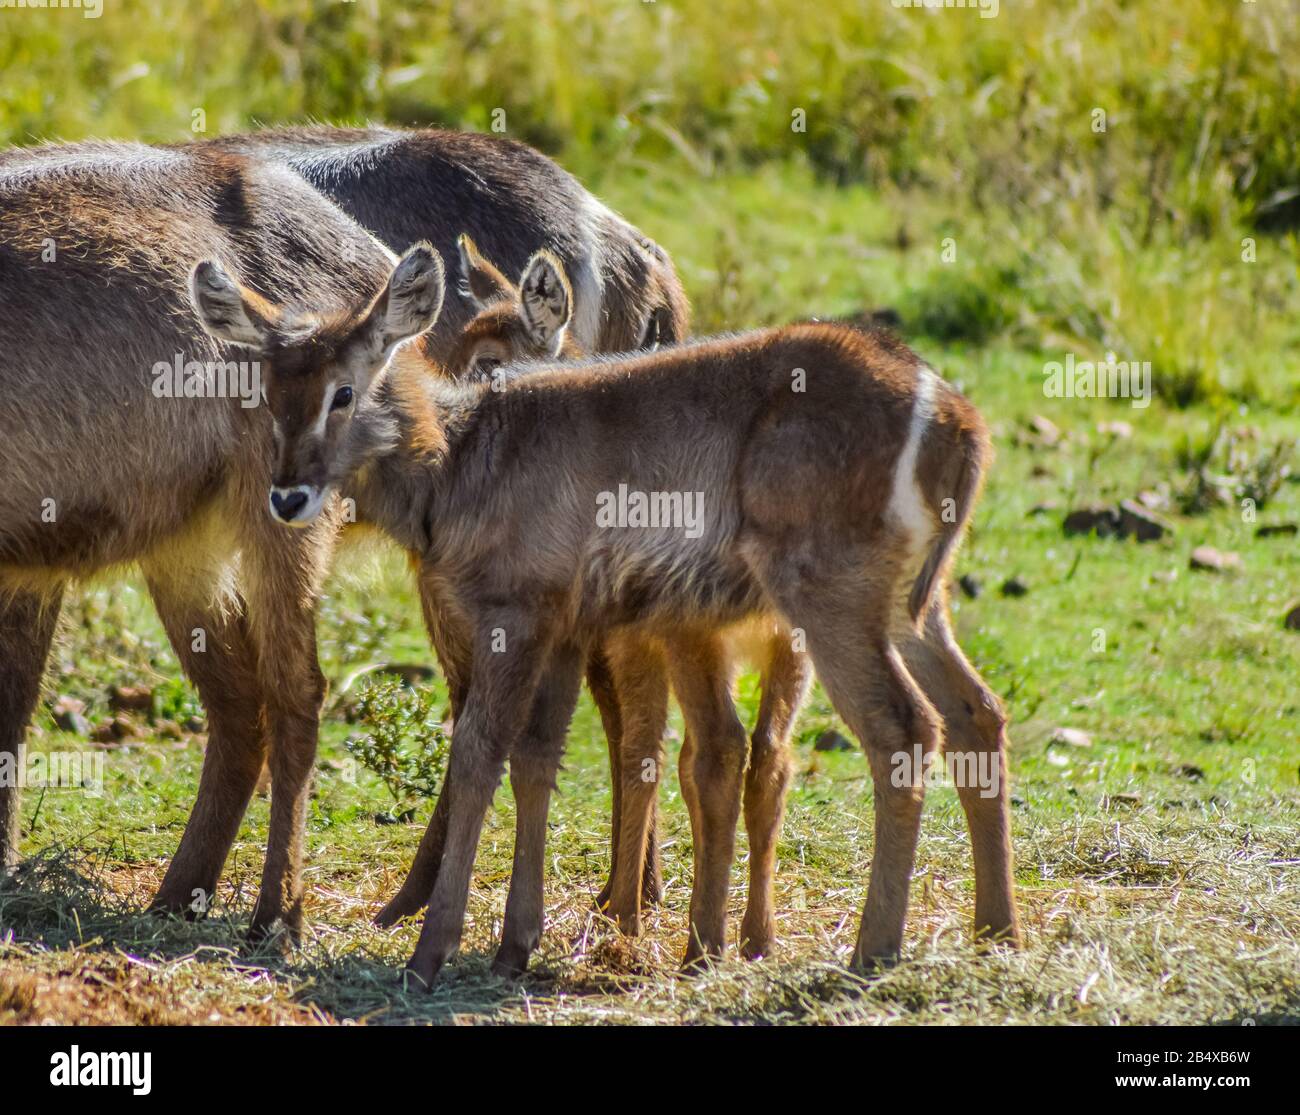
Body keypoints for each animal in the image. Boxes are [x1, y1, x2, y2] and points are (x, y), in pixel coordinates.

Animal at [189, 239, 1024, 977]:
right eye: (269, 395)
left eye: (344, 390)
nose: (288, 496)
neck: (459, 459)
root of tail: (955, 416)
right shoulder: (565, 626)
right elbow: (537, 759)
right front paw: (514, 945)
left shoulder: (516, 611)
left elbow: (477, 754)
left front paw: (433, 951)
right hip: (911, 606)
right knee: (976, 712)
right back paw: (997, 932)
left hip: (830, 597)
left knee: (901, 729)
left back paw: (871, 951)